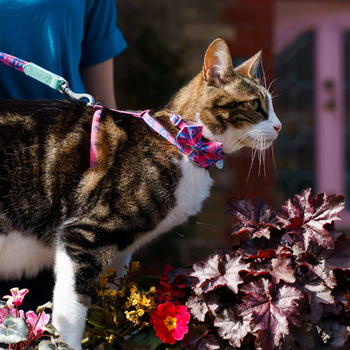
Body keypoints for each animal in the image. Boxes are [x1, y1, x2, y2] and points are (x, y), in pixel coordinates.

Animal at [0, 39, 280, 348]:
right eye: (255, 104)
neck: (180, 140)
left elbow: (115, 299)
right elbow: (71, 310)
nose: (279, 126)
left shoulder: (118, 253)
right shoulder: (83, 236)